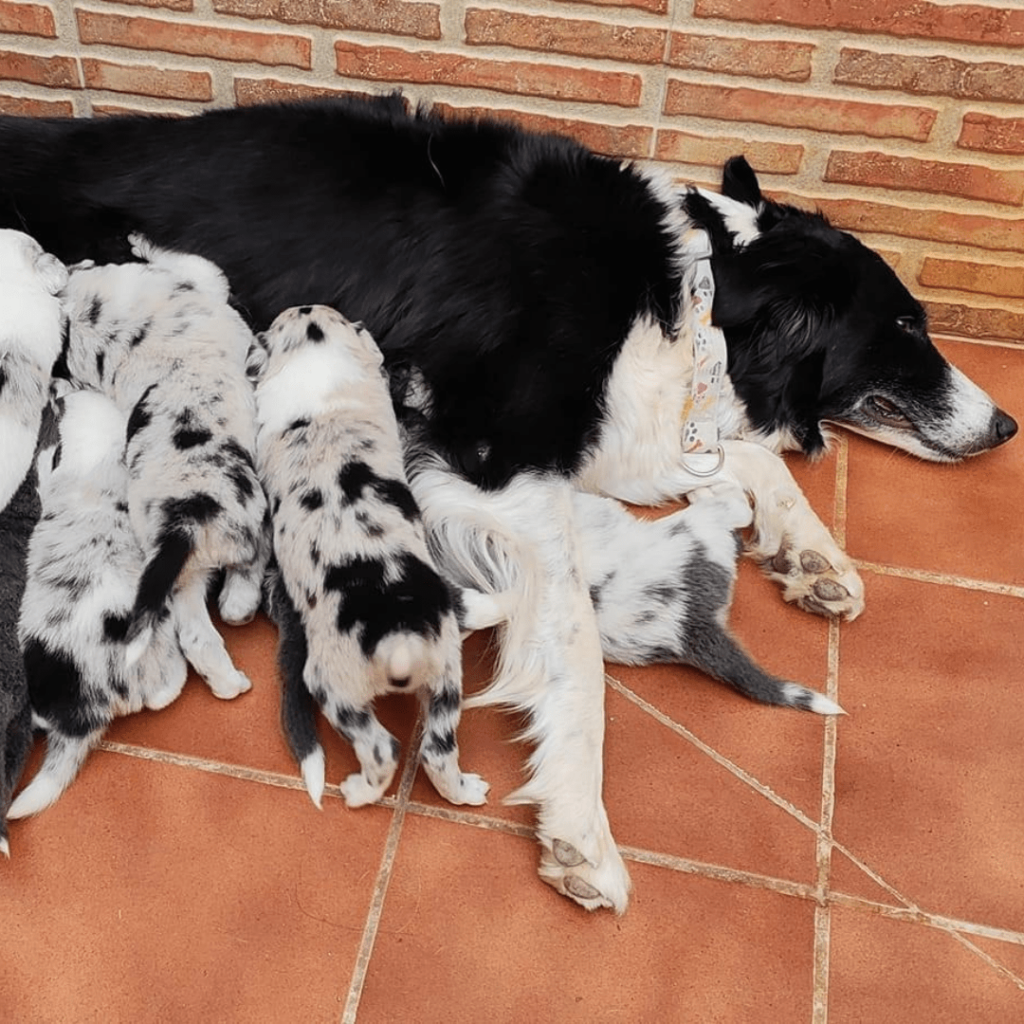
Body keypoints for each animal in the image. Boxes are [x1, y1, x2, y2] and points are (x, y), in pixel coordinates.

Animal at [9, 387, 189, 819]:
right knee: (165, 690)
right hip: (158, 659)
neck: (99, 468)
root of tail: (96, 705)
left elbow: (44, 464)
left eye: (63, 402)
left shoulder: (52, 479)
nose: (61, 387)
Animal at [59, 237, 268, 704]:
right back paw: (240, 612)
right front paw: (141, 242)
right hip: (249, 522)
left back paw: (228, 683)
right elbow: (189, 262)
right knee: (247, 574)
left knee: (197, 636)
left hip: (179, 579)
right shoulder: (205, 279)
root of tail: (181, 524)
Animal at [251, 303, 499, 806]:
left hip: (334, 687)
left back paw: (357, 791)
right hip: (446, 681)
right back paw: (467, 791)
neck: (317, 359)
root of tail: (397, 640)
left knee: (383, 748)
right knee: (437, 753)